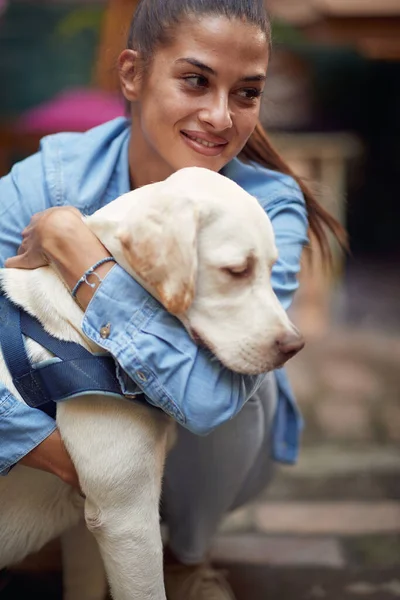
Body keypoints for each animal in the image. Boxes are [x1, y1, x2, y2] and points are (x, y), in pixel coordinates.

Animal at [0, 168, 302, 600]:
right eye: (237, 270)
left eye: (272, 267)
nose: (294, 346)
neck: (77, 325)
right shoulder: (126, 517)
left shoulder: (89, 520)